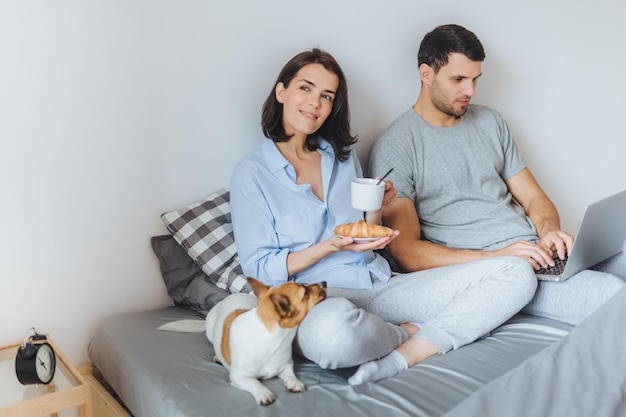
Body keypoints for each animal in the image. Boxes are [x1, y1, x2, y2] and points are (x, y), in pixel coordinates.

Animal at [157, 276, 326, 404]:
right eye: (305, 292)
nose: (324, 282)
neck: (271, 339)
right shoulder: (239, 377)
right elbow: (254, 382)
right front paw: (264, 393)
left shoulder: (286, 365)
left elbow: (290, 374)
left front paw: (295, 383)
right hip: (211, 332)